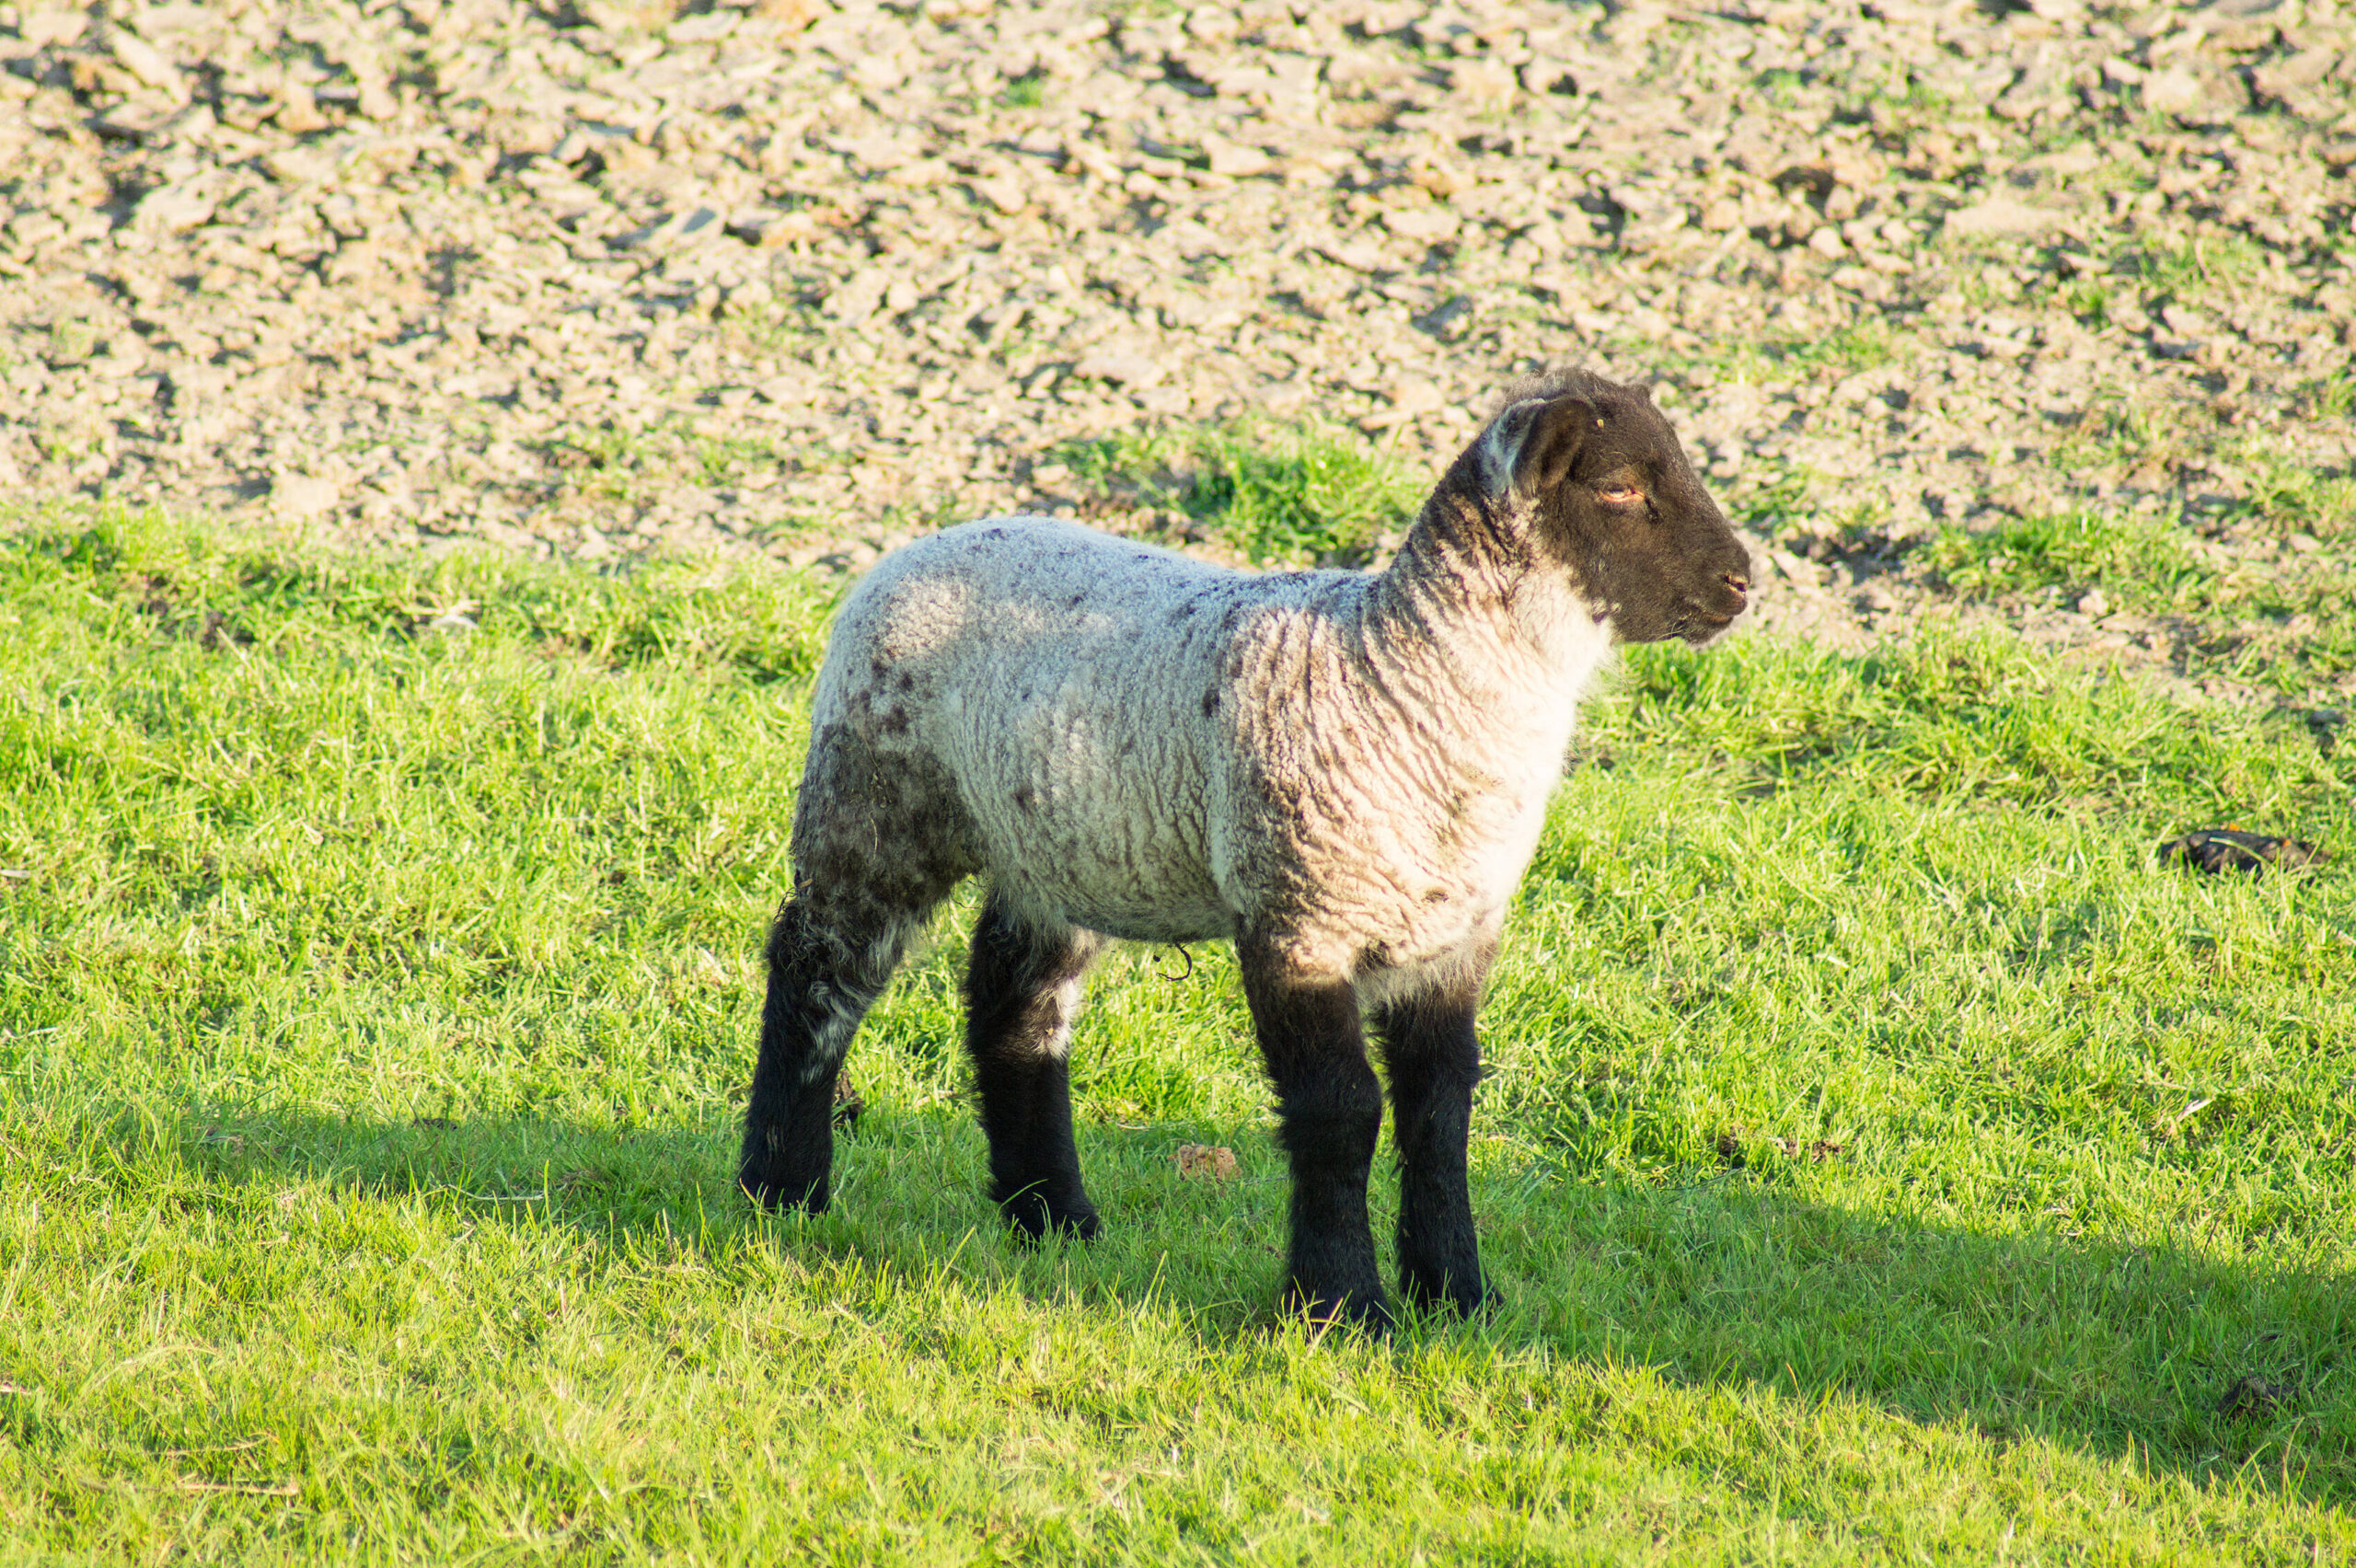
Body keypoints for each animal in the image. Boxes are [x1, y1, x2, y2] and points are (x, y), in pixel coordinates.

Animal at [734, 369, 1752, 1328]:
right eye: (1619, 488)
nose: (1743, 582)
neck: (1406, 679)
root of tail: (908, 550)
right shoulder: (1298, 918)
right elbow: (1342, 1111)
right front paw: (1343, 1306)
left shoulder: (1450, 935)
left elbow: (1440, 1110)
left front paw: (1457, 1296)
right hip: (877, 801)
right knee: (817, 974)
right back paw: (783, 1189)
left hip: (1053, 847)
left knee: (1015, 1009)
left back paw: (1053, 1217)